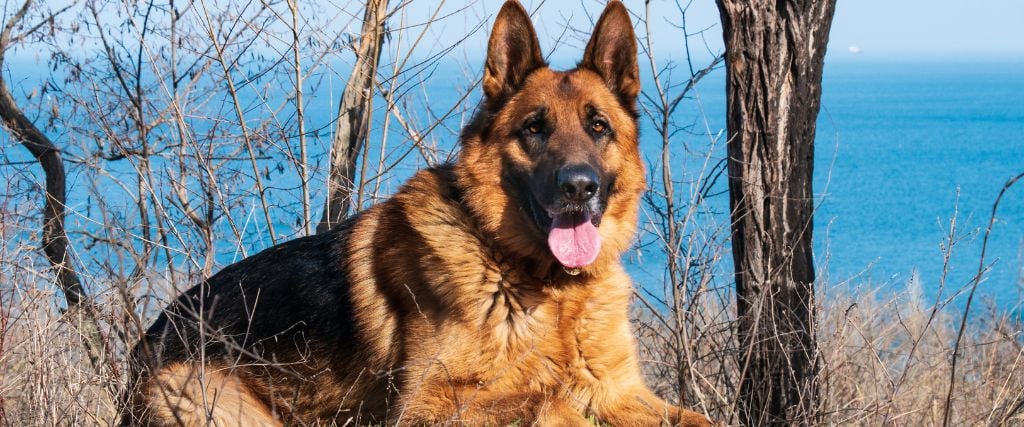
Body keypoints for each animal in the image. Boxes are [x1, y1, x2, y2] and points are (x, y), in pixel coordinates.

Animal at [128, 1, 712, 423]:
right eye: (534, 128)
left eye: (598, 127)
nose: (579, 187)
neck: (546, 286)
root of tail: (142, 347)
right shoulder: (426, 406)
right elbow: (550, 398)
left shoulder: (623, 391)